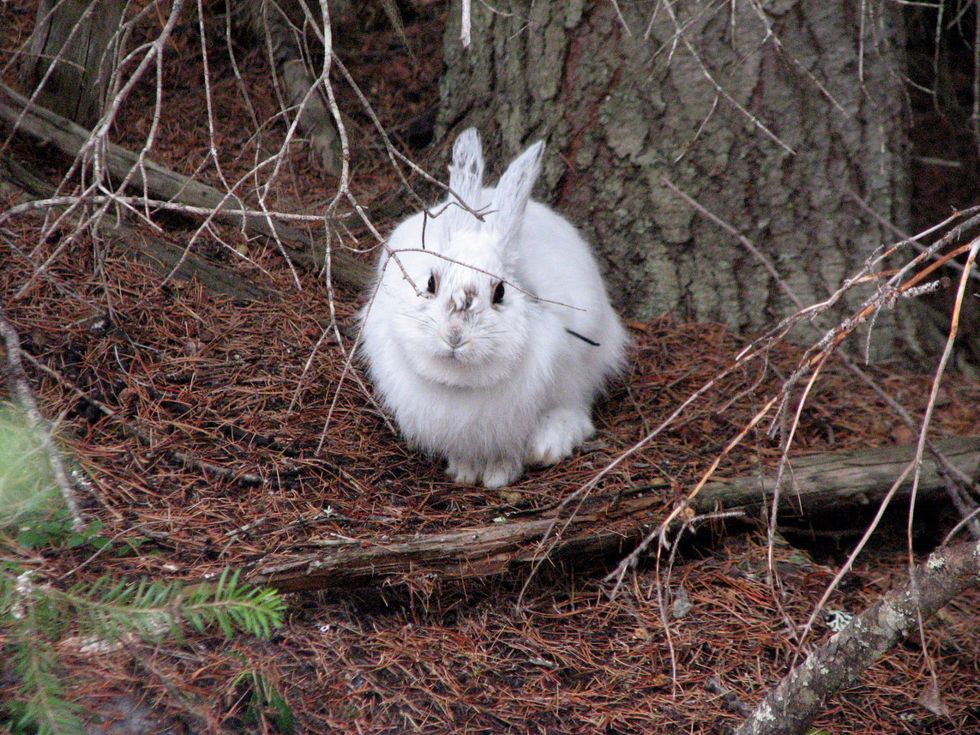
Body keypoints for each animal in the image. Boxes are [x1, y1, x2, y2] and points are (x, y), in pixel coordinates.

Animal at [360, 128, 627, 488]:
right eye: (431, 283)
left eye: (500, 292)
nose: (454, 336)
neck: (461, 383)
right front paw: (464, 471)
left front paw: (500, 475)